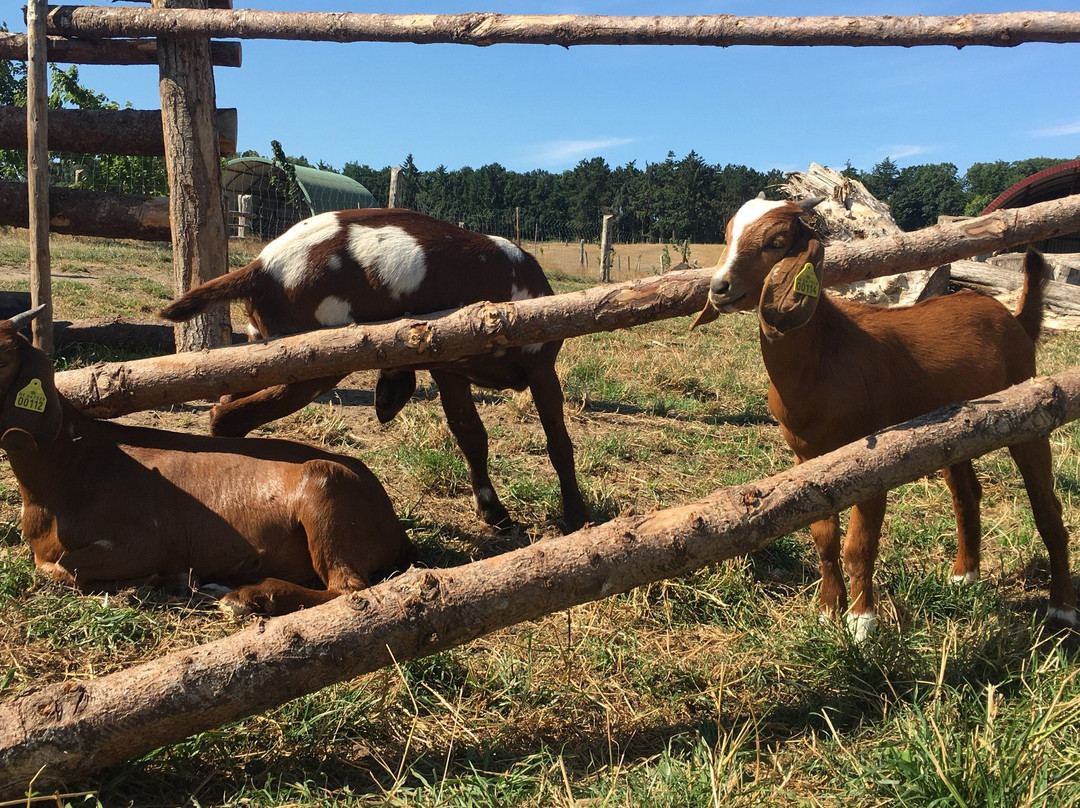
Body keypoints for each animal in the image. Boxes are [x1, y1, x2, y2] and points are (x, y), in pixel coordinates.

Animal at [0, 306, 414, 613]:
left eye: (5, 359)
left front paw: (157, 581)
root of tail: (392, 521)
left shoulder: (144, 540)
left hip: (325, 493)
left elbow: (65, 569)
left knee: (349, 589)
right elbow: (53, 567)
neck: (70, 464)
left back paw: (252, 596)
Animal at [695, 194, 1075, 639]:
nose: (718, 288)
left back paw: (1062, 608)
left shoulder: (872, 460)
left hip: (1030, 415)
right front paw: (828, 612)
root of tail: (1016, 320)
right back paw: (964, 577)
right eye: (727, 235)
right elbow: (824, 538)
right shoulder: (807, 459)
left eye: (776, 241)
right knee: (967, 494)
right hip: (956, 435)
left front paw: (861, 624)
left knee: (1047, 508)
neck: (825, 353)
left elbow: (859, 546)